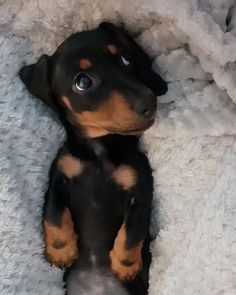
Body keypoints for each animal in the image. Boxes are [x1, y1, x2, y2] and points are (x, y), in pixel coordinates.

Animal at [19, 22, 168, 294]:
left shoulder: (141, 188)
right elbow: (53, 213)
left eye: (125, 58)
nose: (149, 103)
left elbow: (133, 230)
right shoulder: (58, 177)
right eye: (83, 82)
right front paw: (60, 251)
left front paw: (125, 265)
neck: (100, 153)